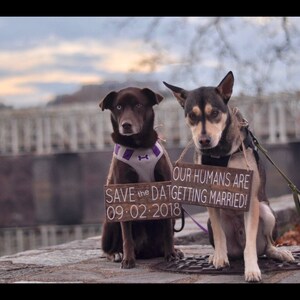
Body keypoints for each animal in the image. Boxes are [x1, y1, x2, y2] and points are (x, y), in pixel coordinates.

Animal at [99, 86, 183, 268]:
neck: (138, 146)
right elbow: (127, 235)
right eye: (118, 107)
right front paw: (128, 259)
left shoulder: (164, 188)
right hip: (110, 220)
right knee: (107, 249)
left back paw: (172, 250)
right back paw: (116, 254)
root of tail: (146, 251)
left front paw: (171, 254)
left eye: (138, 105)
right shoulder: (123, 193)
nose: (126, 125)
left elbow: (167, 231)